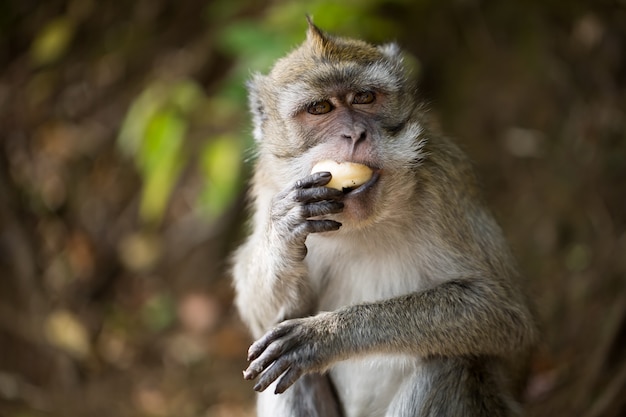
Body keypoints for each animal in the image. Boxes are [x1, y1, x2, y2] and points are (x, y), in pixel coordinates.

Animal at [230, 18, 536, 416]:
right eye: (319, 108)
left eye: (363, 98)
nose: (354, 134)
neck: (366, 223)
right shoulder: (270, 188)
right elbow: (265, 322)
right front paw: (284, 231)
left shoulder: (445, 182)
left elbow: (504, 315)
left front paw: (328, 334)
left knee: (449, 363)